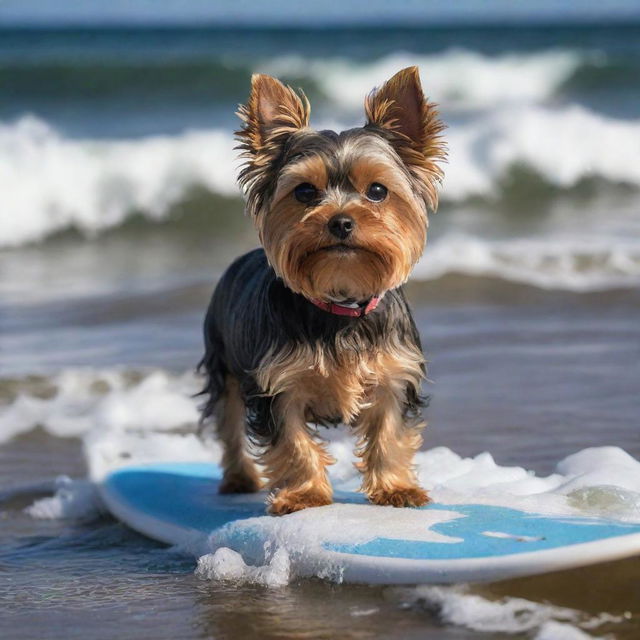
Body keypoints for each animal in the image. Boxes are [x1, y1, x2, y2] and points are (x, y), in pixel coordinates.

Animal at [199, 66, 444, 516]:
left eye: (378, 190)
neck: (340, 303)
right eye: (305, 192)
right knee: (228, 421)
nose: (341, 221)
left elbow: (390, 432)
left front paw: (395, 488)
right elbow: (293, 441)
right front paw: (305, 494)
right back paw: (239, 478)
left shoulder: (393, 375)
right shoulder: (277, 384)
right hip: (223, 362)